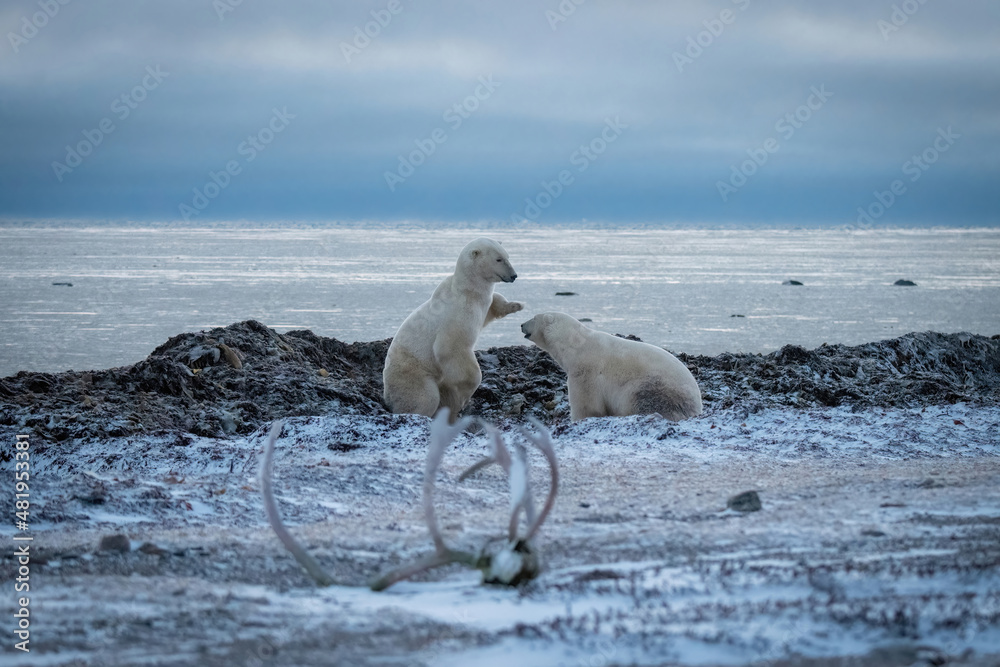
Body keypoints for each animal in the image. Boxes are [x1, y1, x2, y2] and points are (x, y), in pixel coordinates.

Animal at [383, 238, 523, 421]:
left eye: (507, 256)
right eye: (499, 259)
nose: (514, 275)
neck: (466, 290)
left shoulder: (480, 304)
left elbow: (492, 306)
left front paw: (516, 305)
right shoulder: (457, 314)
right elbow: (451, 348)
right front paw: (466, 392)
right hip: (411, 374)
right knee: (425, 397)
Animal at [520, 312, 702, 421]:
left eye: (534, 318)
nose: (521, 324)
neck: (576, 344)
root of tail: (696, 407)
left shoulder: (585, 370)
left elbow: (587, 403)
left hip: (655, 388)